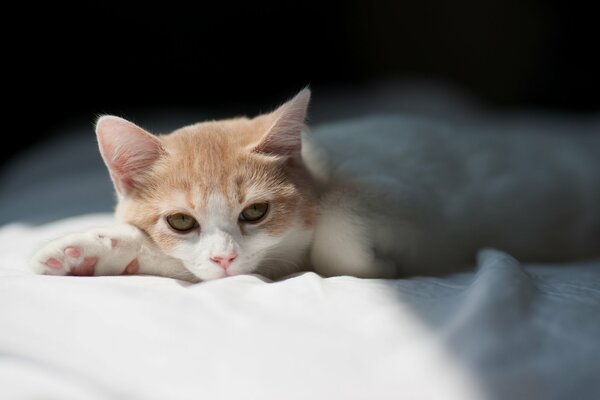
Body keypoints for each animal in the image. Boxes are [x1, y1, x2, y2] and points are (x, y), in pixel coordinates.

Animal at [31, 88, 600, 280]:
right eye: (180, 221)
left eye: (254, 212)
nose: (224, 256)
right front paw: (88, 250)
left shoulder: (411, 201)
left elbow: (341, 223)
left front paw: (379, 267)